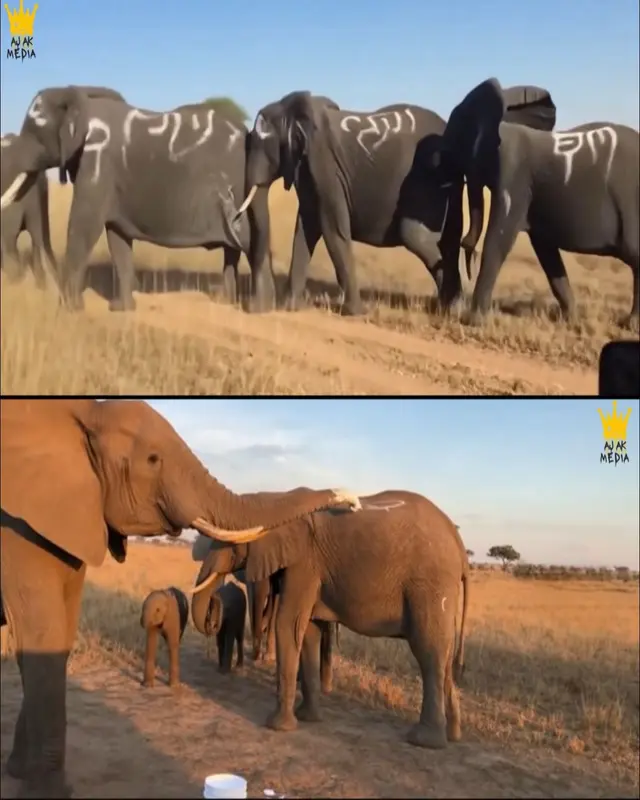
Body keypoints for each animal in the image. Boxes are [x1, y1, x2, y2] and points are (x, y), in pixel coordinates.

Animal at [0, 398, 360, 800]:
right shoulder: (18, 529)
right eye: (153, 459)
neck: (85, 413)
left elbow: (53, 640)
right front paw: (45, 790)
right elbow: (43, 636)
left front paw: (20, 773)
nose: (354, 503)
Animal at [190, 489, 470, 750]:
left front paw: (278, 726)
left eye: (229, 543)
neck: (276, 500)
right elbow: (308, 631)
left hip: (429, 587)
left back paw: (425, 741)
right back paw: (453, 736)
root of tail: (459, 545)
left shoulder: (304, 565)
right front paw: (307, 718)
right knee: (443, 656)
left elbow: (288, 624)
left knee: (428, 652)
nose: (213, 615)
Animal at [234, 87, 555, 316]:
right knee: (446, 240)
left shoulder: (324, 165)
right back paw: (448, 306)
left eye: (260, 143)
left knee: (416, 235)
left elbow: (333, 229)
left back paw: (452, 306)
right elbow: (307, 227)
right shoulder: (309, 171)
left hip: (426, 179)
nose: (257, 308)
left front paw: (356, 313)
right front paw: (290, 308)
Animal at [435, 77, 639, 323]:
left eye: (455, 138)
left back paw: (630, 324)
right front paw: (572, 321)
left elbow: (499, 238)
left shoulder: (514, 173)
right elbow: (545, 250)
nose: (467, 253)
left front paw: (474, 322)